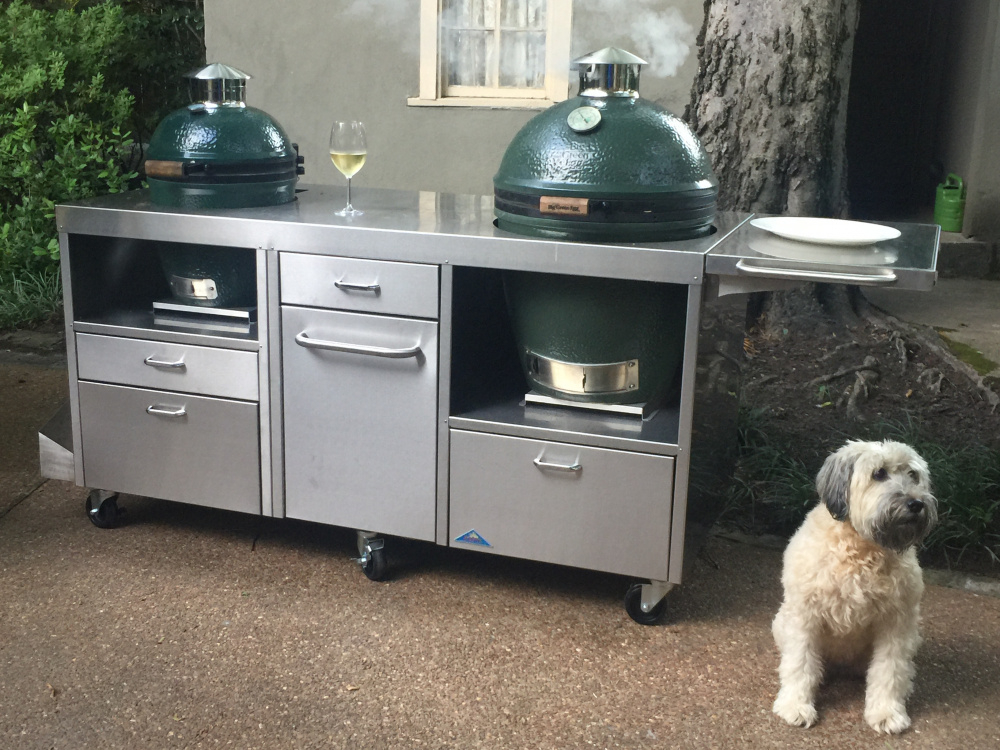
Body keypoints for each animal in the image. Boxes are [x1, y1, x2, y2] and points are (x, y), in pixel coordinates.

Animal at [771, 440, 938, 734]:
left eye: (913, 474)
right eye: (879, 473)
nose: (916, 503)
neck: (861, 549)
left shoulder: (897, 622)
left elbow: (889, 670)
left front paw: (886, 712)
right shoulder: (804, 616)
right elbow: (799, 663)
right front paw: (795, 706)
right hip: (781, 622)